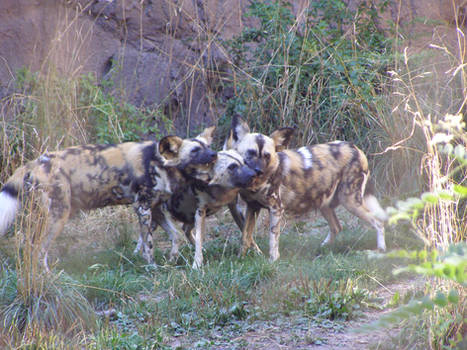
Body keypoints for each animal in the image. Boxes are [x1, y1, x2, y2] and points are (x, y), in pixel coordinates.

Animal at [225, 116, 390, 262]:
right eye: (250, 153)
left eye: (267, 156)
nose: (258, 171)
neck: (256, 184)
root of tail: (356, 149)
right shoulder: (252, 207)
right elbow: (245, 237)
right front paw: (240, 259)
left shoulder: (276, 209)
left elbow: (273, 239)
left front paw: (273, 260)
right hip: (324, 203)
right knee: (337, 227)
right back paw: (322, 248)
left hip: (350, 201)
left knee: (378, 222)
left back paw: (380, 250)